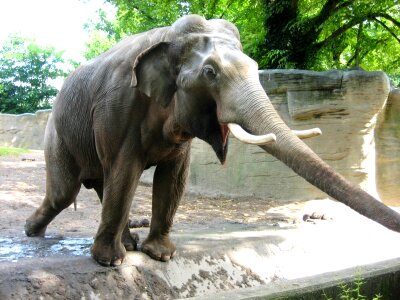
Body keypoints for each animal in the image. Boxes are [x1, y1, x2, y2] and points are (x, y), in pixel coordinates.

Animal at [24, 15, 400, 266]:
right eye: (210, 73)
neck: (168, 39)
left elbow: (174, 177)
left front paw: (160, 255)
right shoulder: (118, 107)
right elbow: (126, 170)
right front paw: (110, 263)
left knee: (100, 184)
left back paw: (126, 243)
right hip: (58, 134)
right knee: (65, 192)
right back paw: (33, 232)